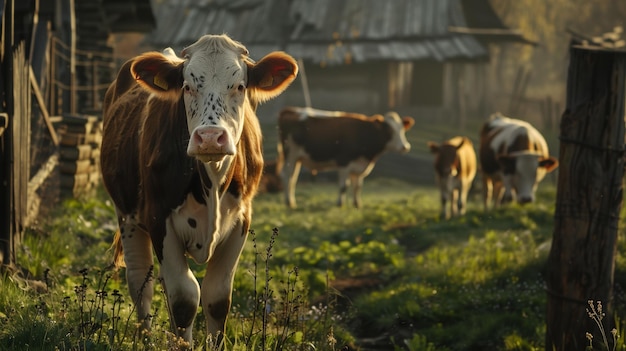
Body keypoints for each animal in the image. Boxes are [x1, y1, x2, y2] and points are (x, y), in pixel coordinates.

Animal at [100, 34, 298, 348]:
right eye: (187, 86)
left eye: (239, 86)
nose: (210, 138)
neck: (212, 182)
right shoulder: (159, 219)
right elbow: (184, 299)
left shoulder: (241, 220)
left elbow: (216, 298)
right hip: (126, 214)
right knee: (141, 281)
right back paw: (145, 338)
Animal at [276, 107, 412, 209]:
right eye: (389, 131)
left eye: (402, 129)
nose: (405, 146)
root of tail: (290, 110)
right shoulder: (344, 162)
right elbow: (343, 186)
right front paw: (340, 204)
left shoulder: (359, 166)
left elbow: (357, 187)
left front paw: (357, 205)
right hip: (290, 154)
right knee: (286, 175)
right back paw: (289, 202)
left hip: (297, 159)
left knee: (293, 178)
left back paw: (291, 201)